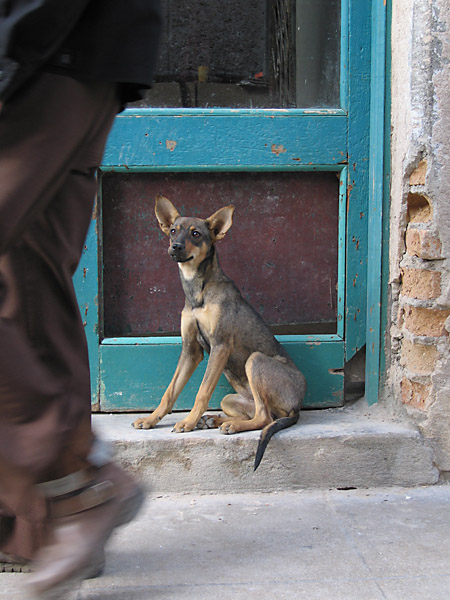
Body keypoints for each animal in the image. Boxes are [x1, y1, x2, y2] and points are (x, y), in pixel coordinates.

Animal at [132, 197, 308, 468]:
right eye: (172, 230)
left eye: (196, 233)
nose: (175, 247)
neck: (198, 289)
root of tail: (296, 406)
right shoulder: (191, 350)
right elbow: (170, 391)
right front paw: (151, 419)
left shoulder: (220, 346)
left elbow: (202, 392)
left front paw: (188, 422)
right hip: (232, 399)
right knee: (260, 413)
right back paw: (215, 420)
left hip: (255, 360)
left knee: (264, 418)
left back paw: (229, 425)